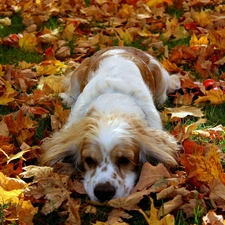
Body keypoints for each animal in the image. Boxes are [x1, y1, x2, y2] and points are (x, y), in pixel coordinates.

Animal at [40, 45, 180, 202]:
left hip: (161, 79)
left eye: (125, 160)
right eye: (89, 160)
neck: (113, 103)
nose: (103, 192)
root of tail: (121, 47)